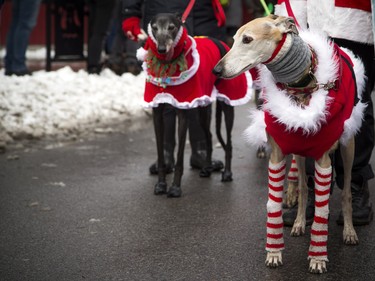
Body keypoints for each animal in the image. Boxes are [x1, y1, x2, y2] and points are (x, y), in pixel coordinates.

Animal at [138, 13, 253, 197]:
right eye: (154, 28)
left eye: (171, 27)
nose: (162, 49)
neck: (168, 64)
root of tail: (220, 42)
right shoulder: (157, 114)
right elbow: (161, 154)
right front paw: (161, 184)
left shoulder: (183, 111)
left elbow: (179, 158)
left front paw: (175, 187)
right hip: (203, 110)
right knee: (209, 136)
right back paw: (206, 168)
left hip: (228, 103)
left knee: (228, 142)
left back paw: (227, 173)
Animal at [214, 14, 368, 272]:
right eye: (234, 39)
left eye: (247, 39)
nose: (217, 70)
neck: (301, 86)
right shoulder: (277, 154)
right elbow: (274, 205)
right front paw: (274, 252)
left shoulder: (323, 159)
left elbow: (323, 210)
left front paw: (317, 258)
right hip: (299, 152)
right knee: (304, 188)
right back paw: (298, 222)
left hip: (348, 145)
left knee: (346, 191)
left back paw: (349, 230)